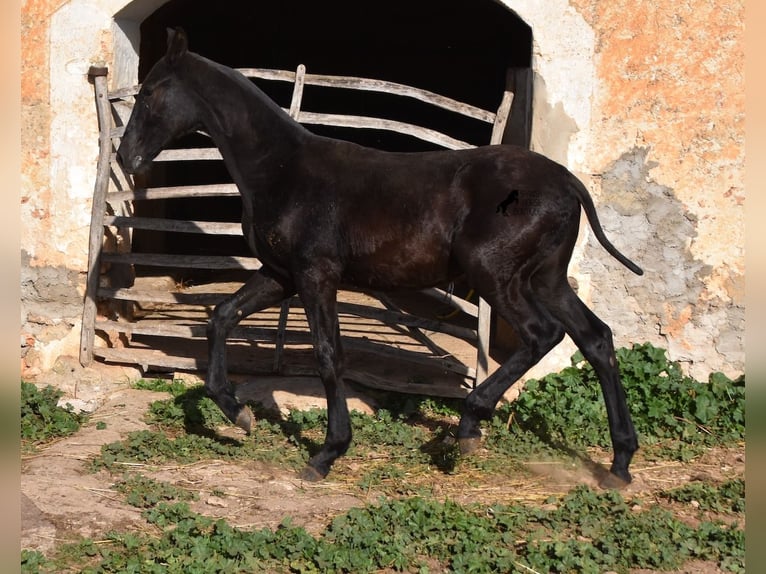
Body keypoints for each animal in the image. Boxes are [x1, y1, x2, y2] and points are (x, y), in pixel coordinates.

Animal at [120, 29, 644, 490]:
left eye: (150, 94)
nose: (126, 157)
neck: (281, 170)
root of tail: (567, 182)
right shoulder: (280, 275)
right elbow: (221, 317)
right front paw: (238, 412)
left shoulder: (315, 275)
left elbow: (329, 354)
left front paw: (326, 454)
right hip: (546, 279)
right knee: (596, 339)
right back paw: (619, 465)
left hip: (496, 275)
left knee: (543, 335)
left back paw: (469, 426)